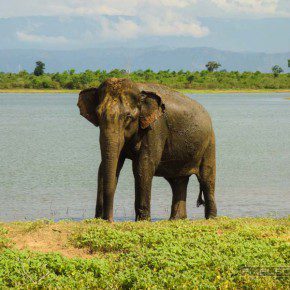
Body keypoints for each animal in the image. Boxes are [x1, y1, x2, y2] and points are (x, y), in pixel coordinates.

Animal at [77, 78, 218, 221]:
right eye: (98, 114)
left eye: (128, 116)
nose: (110, 220)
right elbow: (110, 166)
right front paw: (98, 219)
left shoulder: (155, 127)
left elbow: (144, 166)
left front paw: (142, 220)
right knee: (177, 181)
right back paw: (177, 219)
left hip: (209, 143)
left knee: (206, 179)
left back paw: (211, 218)